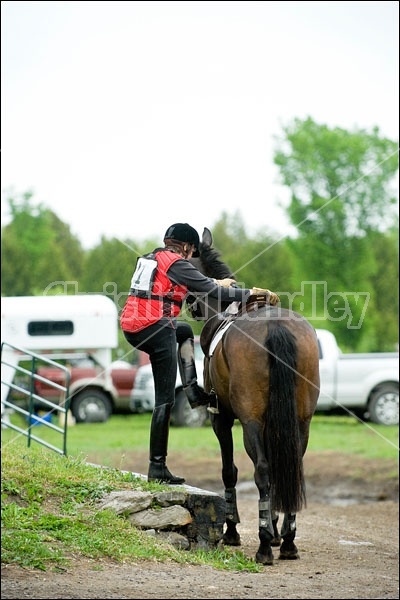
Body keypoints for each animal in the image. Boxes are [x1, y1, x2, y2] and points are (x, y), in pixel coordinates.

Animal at [189, 227, 320, 564]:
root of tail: (276, 326)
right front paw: (275, 529)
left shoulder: (221, 419)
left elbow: (229, 471)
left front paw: (233, 530)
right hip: (301, 420)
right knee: (290, 466)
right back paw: (287, 541)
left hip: (249, 422)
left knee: (261, 470)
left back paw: (263, 546)